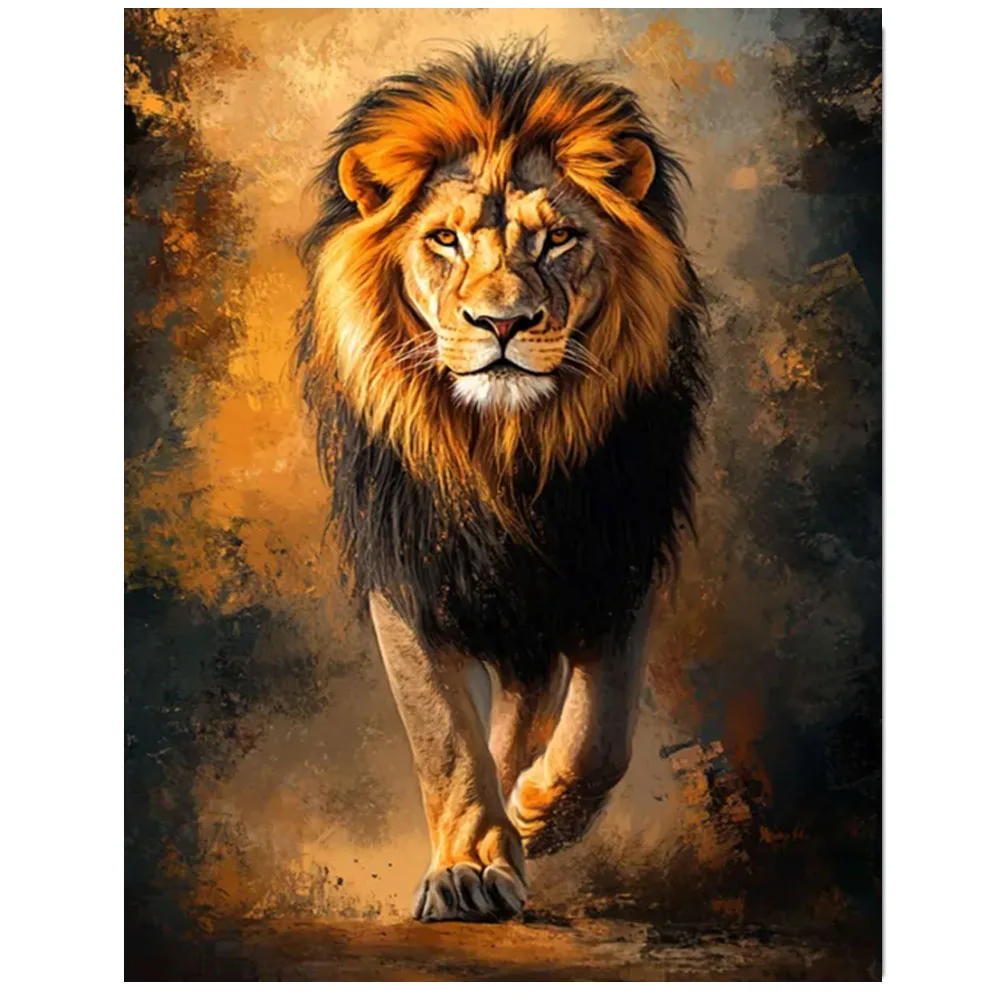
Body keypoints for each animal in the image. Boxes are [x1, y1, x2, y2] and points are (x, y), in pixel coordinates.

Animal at [297, 41, 707, 922]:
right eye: (445, 239)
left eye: (558, 240)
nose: (503, 323)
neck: (504, 445)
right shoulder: (407, 577)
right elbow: (445, 737)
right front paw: (471, 867)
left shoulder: (614, 558)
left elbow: (600, 734)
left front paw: (539, 812)